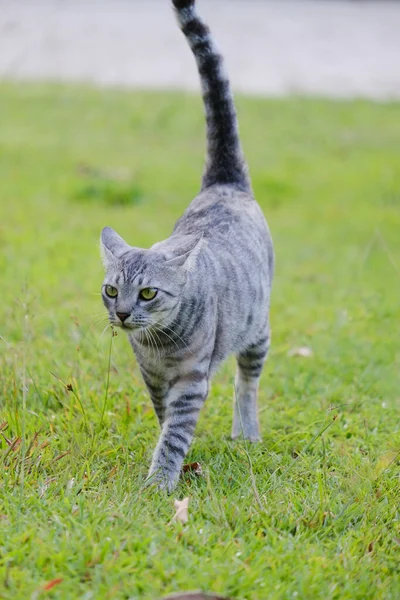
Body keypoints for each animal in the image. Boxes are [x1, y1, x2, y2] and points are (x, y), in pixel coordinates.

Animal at [101, 0, 274, 490]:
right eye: (111, 290)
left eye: (147, 293)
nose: (123, 313)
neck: (158, 345)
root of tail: (224, 182)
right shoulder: (152, 378)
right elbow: (165, 421)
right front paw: (173, 461)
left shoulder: (192, 379)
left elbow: (176, 430)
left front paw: (161, 482)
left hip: (258, 331)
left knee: (245, 385)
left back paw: (246, 433)